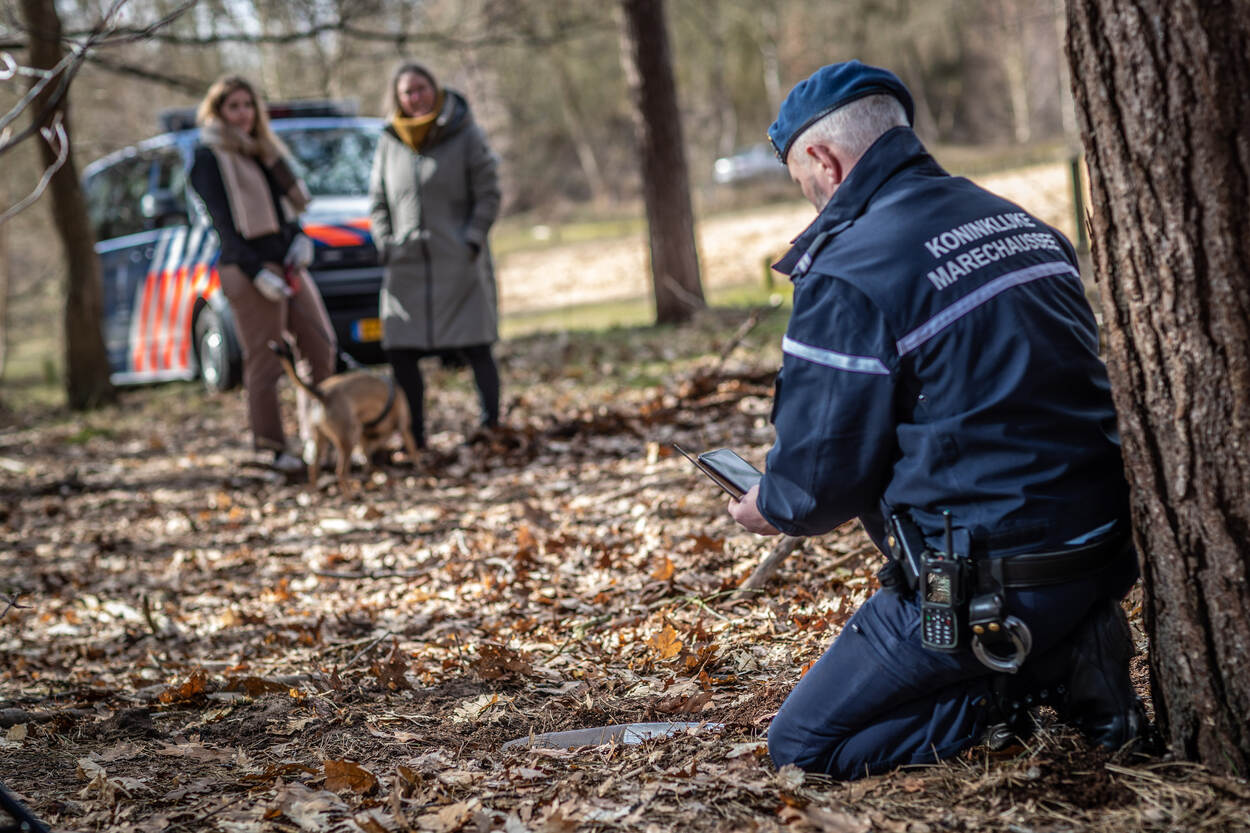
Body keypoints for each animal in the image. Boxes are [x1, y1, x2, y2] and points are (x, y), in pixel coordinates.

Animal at [269, 339, 421, 491]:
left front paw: (369, 469)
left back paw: (314, 491)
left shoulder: (363, 435)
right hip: (348, 437)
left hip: (322, 436)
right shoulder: (405, 426)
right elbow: (413, 449)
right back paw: (351, 494)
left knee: (313, 468)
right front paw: (419, 467)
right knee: (340, 472)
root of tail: (323, 395)